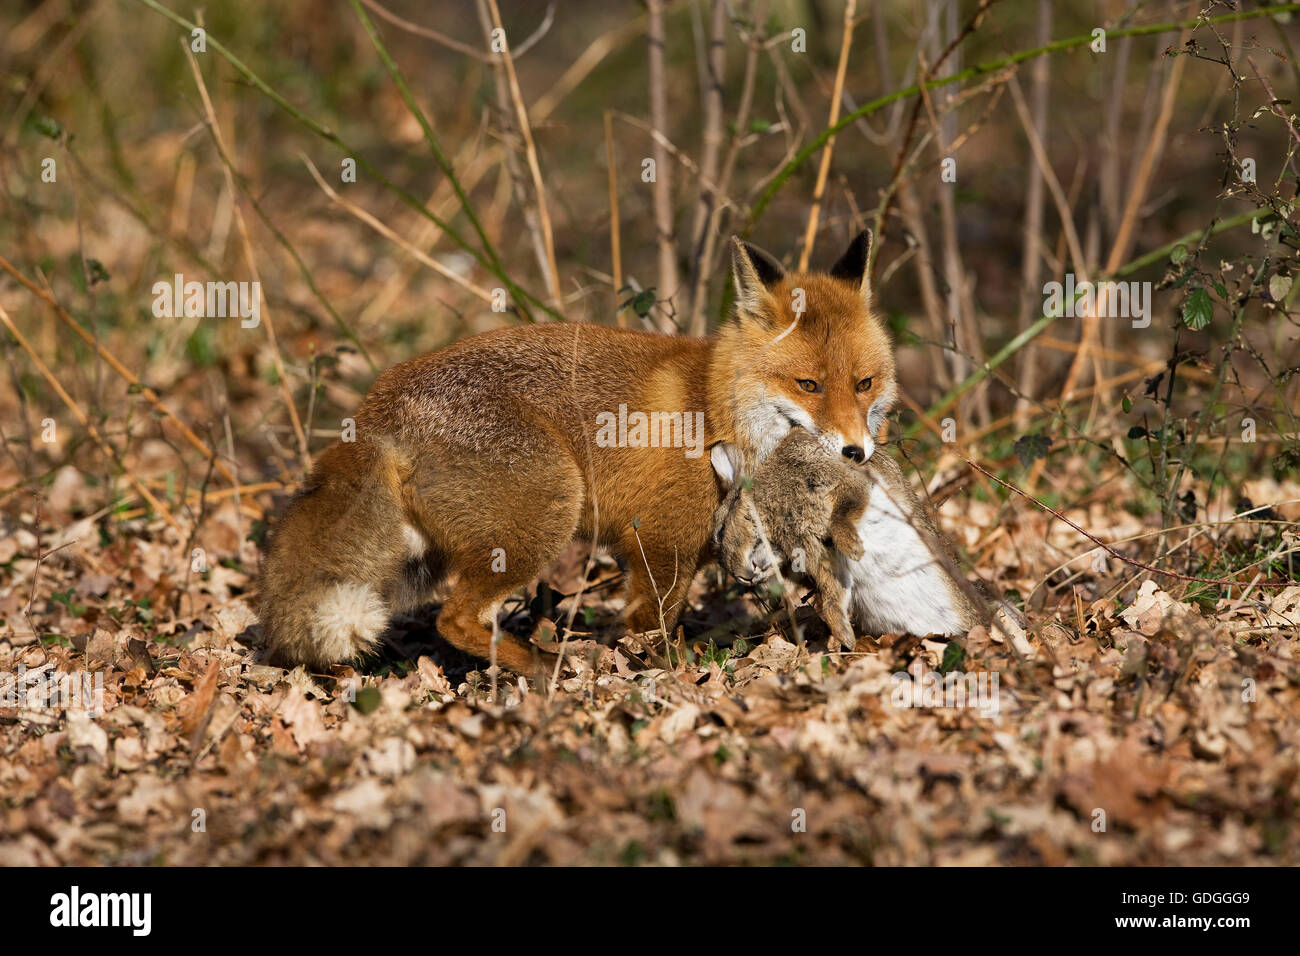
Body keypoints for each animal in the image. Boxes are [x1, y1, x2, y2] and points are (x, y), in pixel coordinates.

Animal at [258, 229, 899, 677]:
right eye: (808, 386)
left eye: (864, 384)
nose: (856, 451)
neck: (714, 408)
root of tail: (380, 401)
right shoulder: (661, 543)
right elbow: (651, 628)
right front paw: (664, 673)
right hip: (545, 514)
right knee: (455, 617)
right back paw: (545, 667)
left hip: (422, 557)